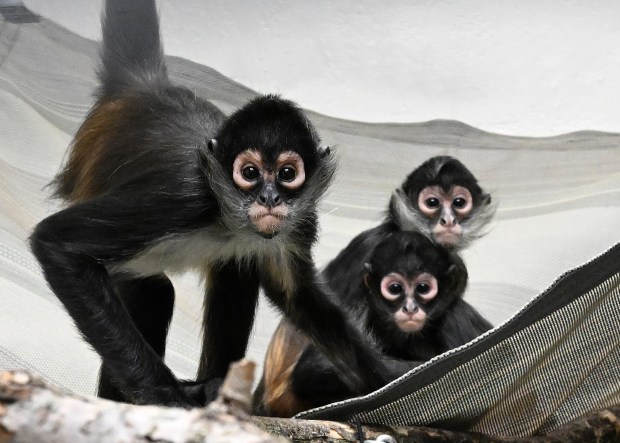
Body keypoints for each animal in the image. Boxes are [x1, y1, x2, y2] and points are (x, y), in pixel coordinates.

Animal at [29, 0, 410, 410]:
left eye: (288, 173)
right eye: (250, 172)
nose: (269, 197)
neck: (228, 220)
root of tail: (144, 88)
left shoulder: (299, 221)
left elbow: (301, 297)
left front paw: (393, 379)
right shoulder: (185, 196)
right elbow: (57, 245)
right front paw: (166, 396)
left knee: (236, 271)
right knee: (154, 291)